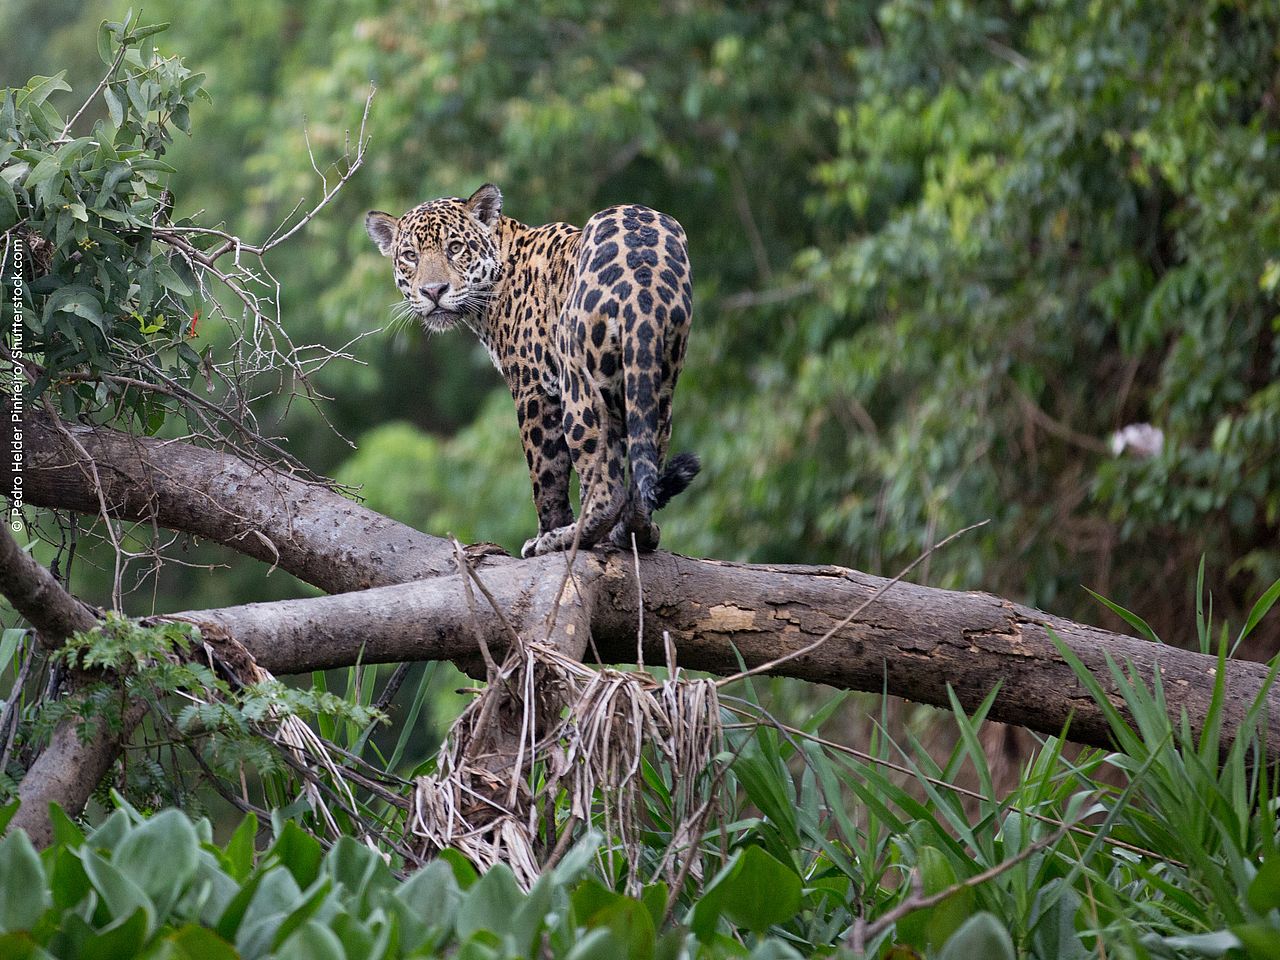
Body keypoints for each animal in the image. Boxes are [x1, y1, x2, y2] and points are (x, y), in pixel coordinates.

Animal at [365, 184, 698, 558]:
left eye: (455, 248)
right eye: (410, 255)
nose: (433, 291)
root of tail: (644, 276)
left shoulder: (534, 389)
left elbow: (546, 475)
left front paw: (545, 533)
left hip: (578, 385)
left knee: (605, 487)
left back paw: (566, 538)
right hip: (658, 382)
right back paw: (635, 532)